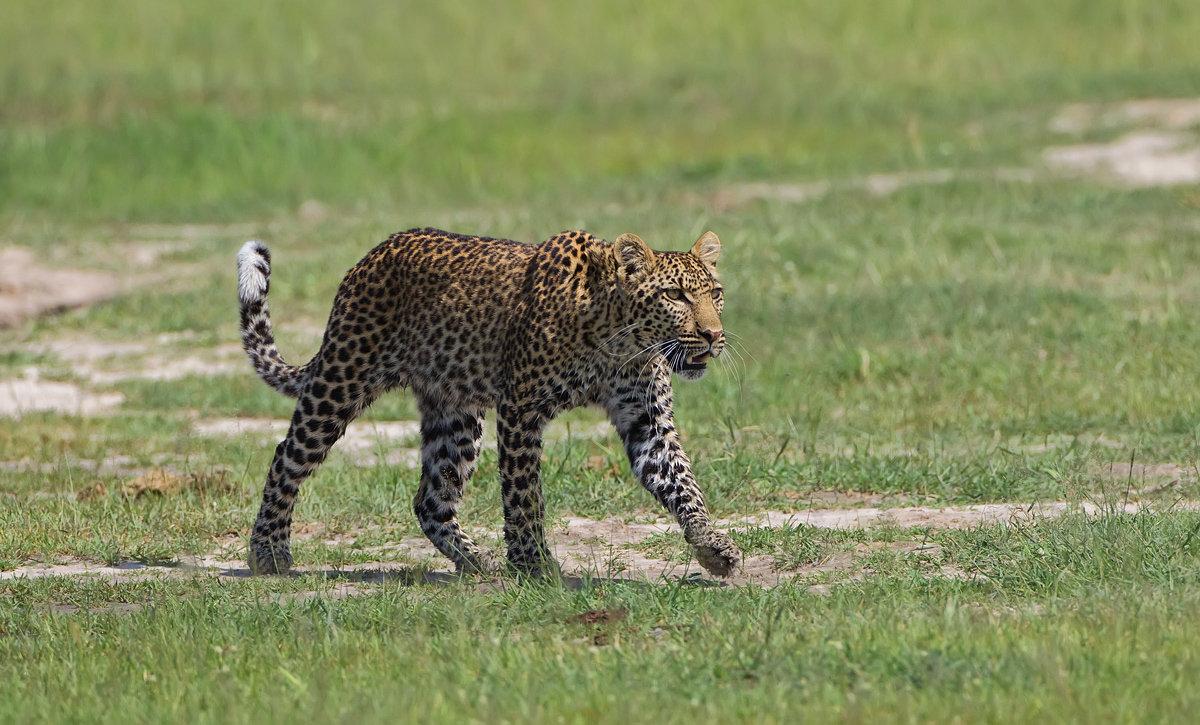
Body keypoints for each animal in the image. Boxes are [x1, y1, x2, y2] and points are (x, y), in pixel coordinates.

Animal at [236, 227, 742, 578]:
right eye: (674, 295)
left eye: (716, 294)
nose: (713, 335)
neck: (618, 340)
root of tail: (373, 254)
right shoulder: (522, 410)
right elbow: (524, 495)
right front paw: (532, 564)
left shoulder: (646, 419)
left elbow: (683, 484)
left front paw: (713, 547)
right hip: (342, 380)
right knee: (286, 456)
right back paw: (268, 553)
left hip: (455, 414)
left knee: (430, 499)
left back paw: (478, 563)